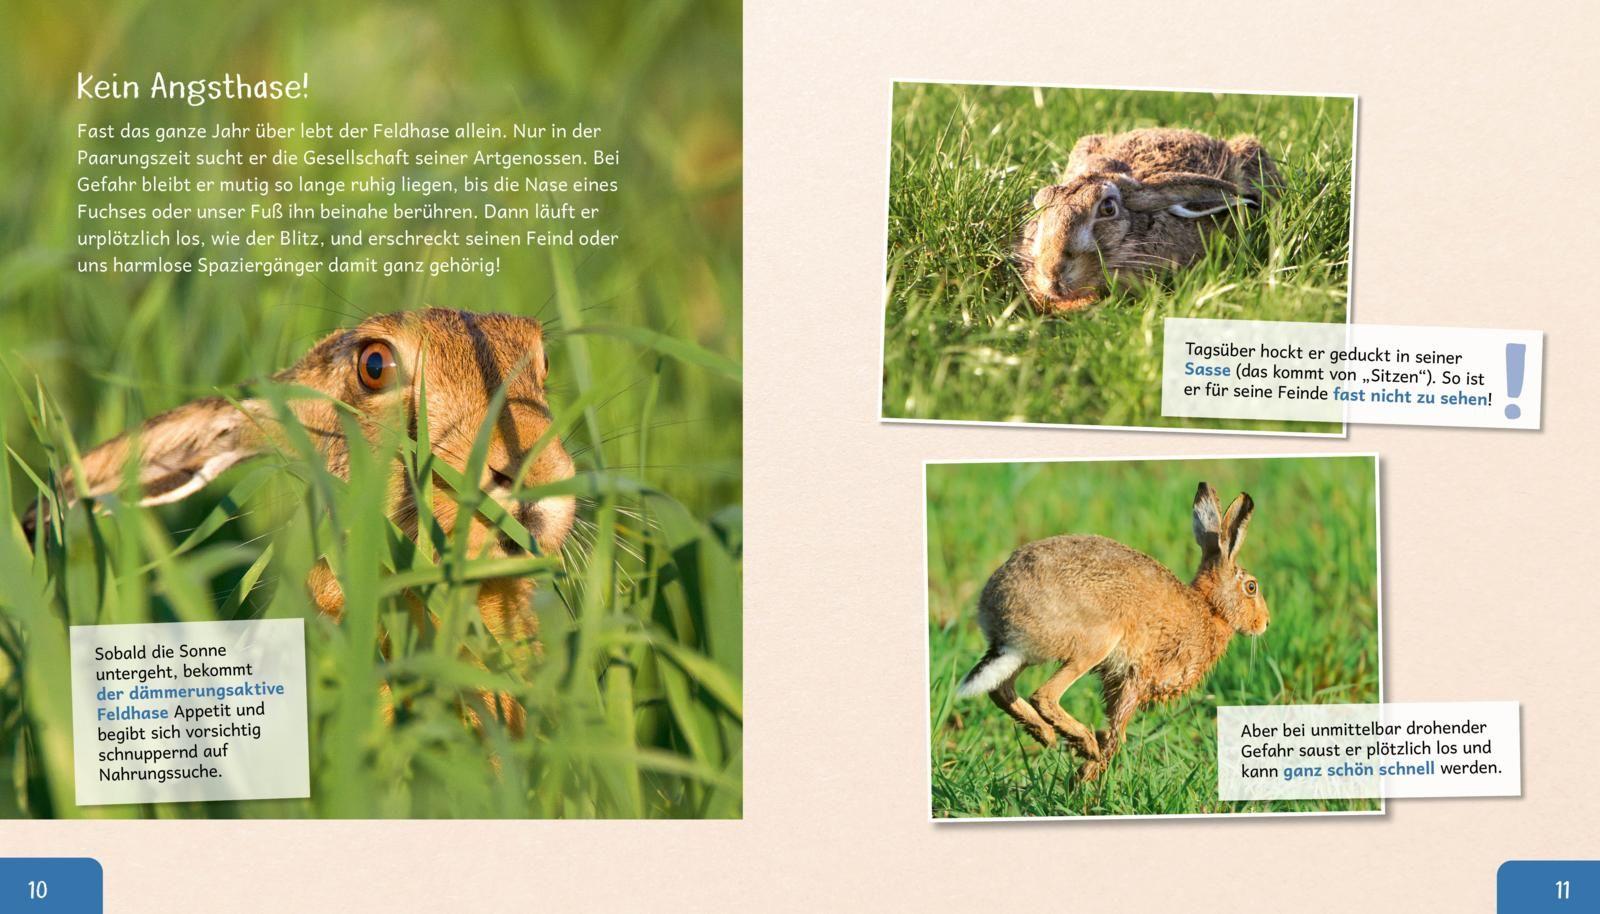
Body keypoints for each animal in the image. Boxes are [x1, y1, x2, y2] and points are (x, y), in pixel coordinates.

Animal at [954, 482, 1267, 782]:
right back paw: (1083, 744)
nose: (1265, 623)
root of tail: (999, 614)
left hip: (1026, 655)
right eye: (1251, 587)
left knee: (1001, 690)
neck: (1211, 608)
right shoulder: (1137, 675)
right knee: (1044, 695)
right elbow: (1118, 730)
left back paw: (1047, 735)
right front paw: (1085, 777)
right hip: (1095, 642)